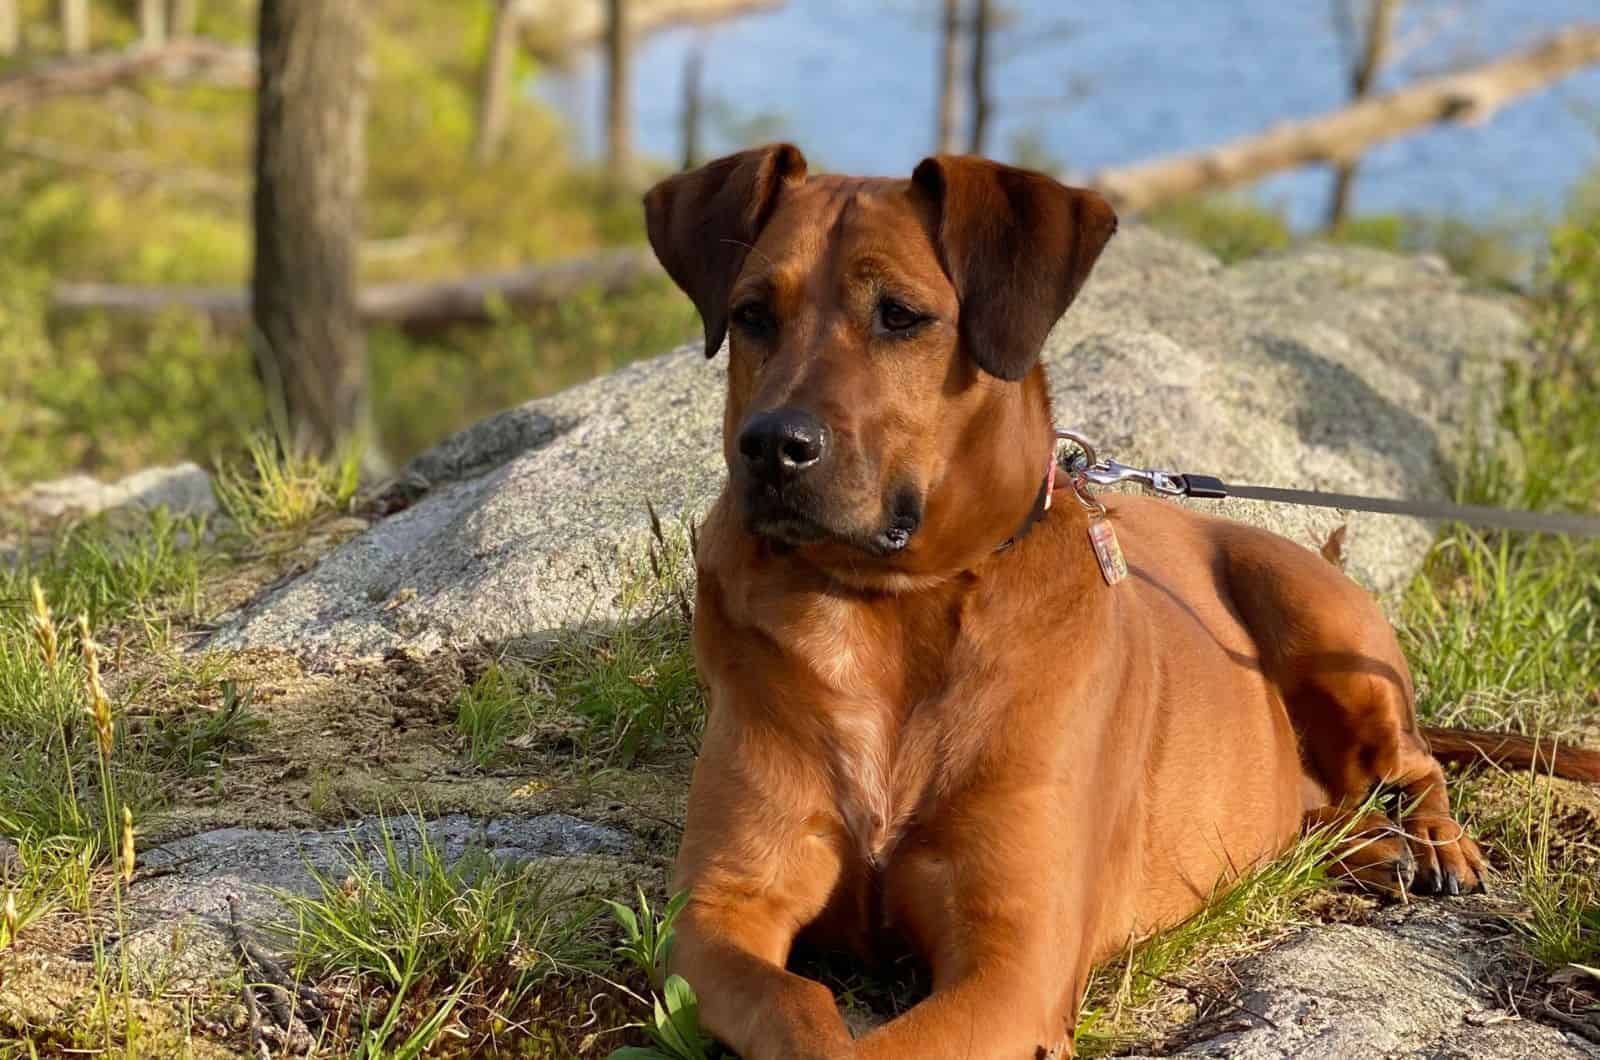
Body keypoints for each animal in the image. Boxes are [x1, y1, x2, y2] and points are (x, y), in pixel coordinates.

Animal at [640, 143, 1600, 1060]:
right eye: (753, 313)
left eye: (901, 317)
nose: (773, 447)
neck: (883, 607)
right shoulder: (717, 914)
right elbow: (798, 1009)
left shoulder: (1015, 963)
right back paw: (1366, 848)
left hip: (1317, 616)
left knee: (1412, 765)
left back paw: (1430, 839)